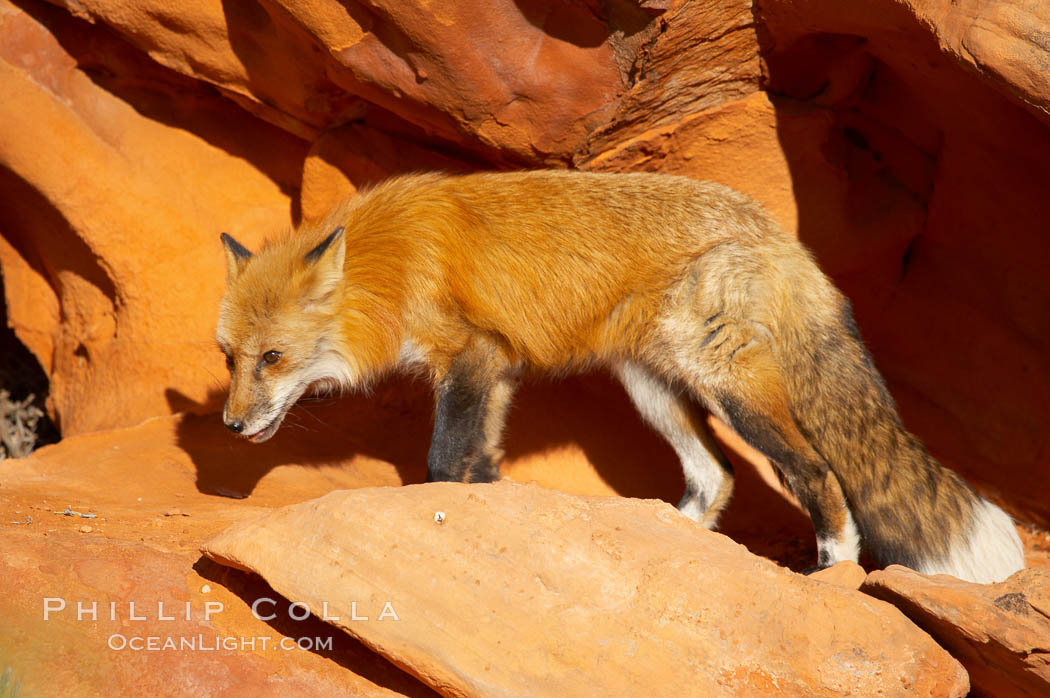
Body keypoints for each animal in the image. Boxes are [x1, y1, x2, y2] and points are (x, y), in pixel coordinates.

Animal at [215, 170, 1024, 583]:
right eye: (229, 358)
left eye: (272, 358)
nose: (229, 424)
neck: (390, 264)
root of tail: (781, 236)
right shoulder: (497, 369)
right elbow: (481, 463)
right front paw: (486, 516)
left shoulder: (468, 355)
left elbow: (444, 462)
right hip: (652, 389)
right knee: (717, 476)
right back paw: (671, 539)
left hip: (728, 388)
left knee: (818, 474)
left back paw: (831, 575)